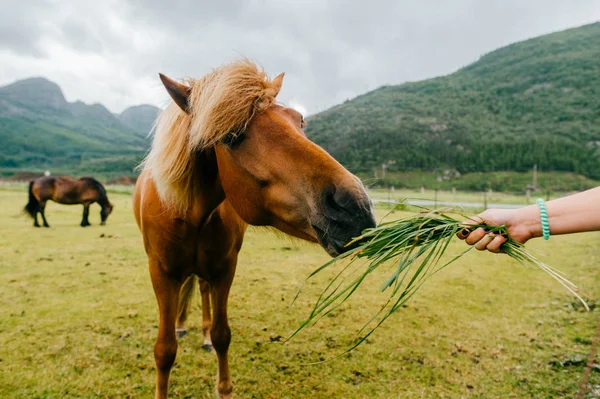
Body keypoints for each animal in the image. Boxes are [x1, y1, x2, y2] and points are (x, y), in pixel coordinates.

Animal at [135, 59, 376, 399]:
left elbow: (222, 334)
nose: (355, 208)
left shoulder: (224, 269)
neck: (192, 213)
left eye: (300, 121)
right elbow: (164, 350)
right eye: (231, 136)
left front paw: (223, 386)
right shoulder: (161, 272)